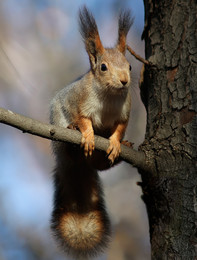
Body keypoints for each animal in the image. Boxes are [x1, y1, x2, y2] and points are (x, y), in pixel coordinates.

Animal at [49, 5, 132, 258]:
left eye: (130, 66)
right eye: (103, 67)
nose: (125, 81)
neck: (110, 97)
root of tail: (77, 168)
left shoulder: (125, 112)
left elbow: (120, 128)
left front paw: (116, 142)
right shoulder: (78, 102)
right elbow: (84, 120)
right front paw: (86, 134)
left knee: (100, 165)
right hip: (59, 135)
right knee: (69, 148)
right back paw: (74, 139)